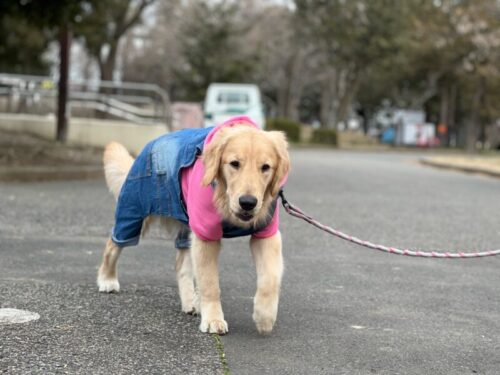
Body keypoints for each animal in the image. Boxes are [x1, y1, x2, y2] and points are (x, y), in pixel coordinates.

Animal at [97, 117, 290, 334]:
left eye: (265, 167)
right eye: (234, 164)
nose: (248, 202)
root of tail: (151, 144)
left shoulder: (266, 234)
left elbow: (270, 279)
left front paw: (264, 317)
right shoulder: (206, 235)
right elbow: (210, 283)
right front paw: (213, 319)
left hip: (186, 226)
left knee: (181, 264)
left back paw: (190, 301)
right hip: (134, 212)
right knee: (113, 245)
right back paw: (107, 279)